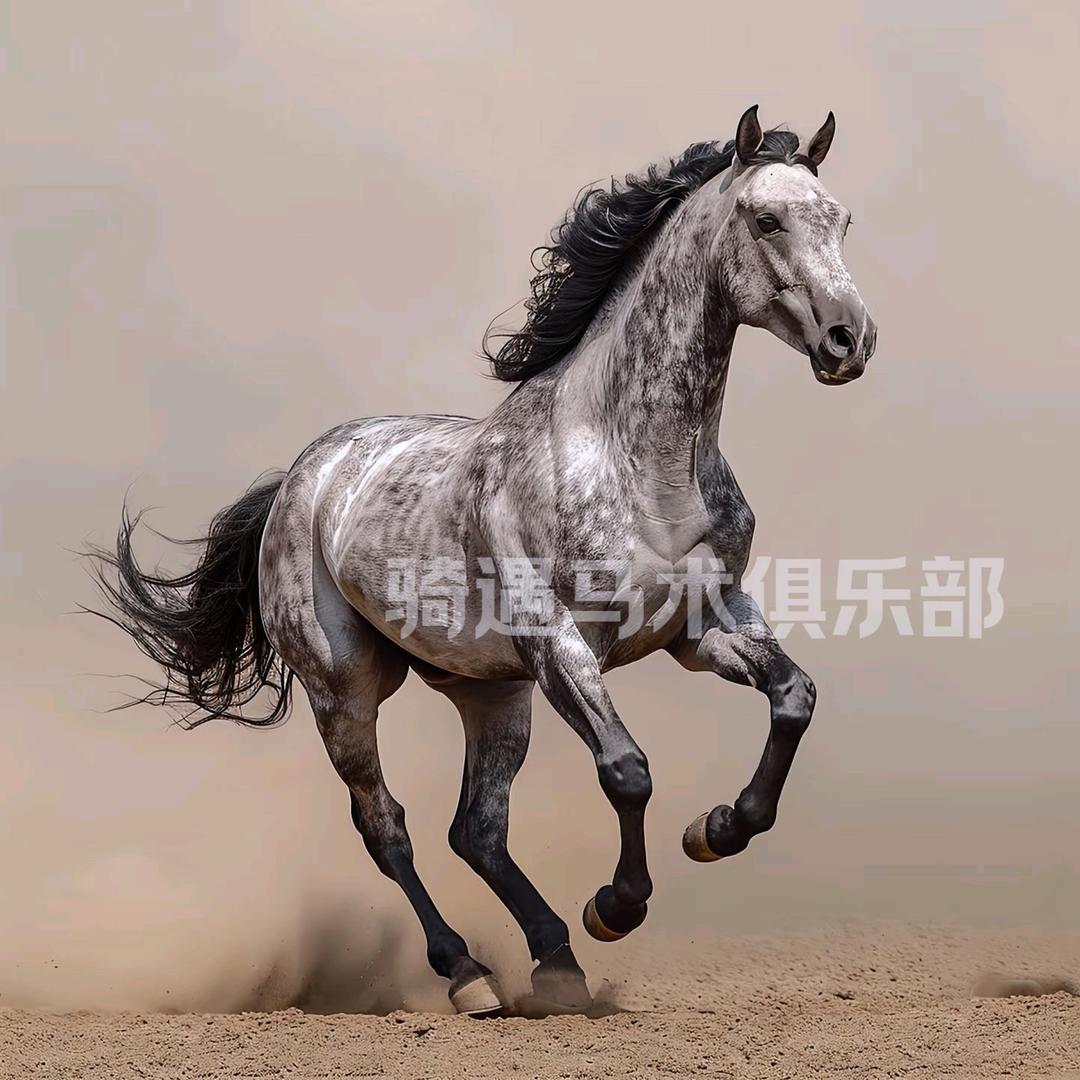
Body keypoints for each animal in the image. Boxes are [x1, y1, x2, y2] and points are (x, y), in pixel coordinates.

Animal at [90, 106, 876, 1016]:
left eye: (840, 221)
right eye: (766, 219)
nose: (850, 339)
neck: (639, 463)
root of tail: (301, 478)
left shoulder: (702, 628)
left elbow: (793, 698)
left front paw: (714, 831)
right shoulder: (561, 644)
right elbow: (627, 771)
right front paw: (615, 908)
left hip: (492, 693)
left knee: (477, 829)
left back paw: (554, 961)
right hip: (347, 691)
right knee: (387, 827)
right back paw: (471, 975)